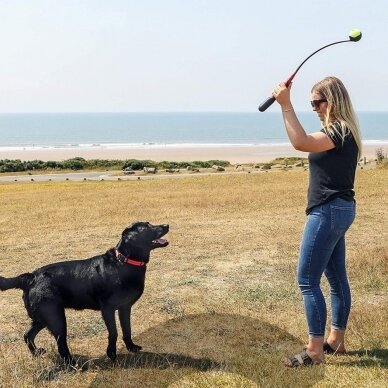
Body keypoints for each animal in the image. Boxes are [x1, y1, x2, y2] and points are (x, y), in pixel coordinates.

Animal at [0, 221, 169, 364]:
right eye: (147, 227)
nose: (166, 225)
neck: (124, 262)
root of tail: (31, 277)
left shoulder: (125, 307)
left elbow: (127, 329)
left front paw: (131, 347)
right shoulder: (108, 309)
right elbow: (113, 332)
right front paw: (112, 355)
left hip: (42, 317)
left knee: (27, 335)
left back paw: (36, 353)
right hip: (56, 318)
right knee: (61, 344)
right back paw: (72, 364)